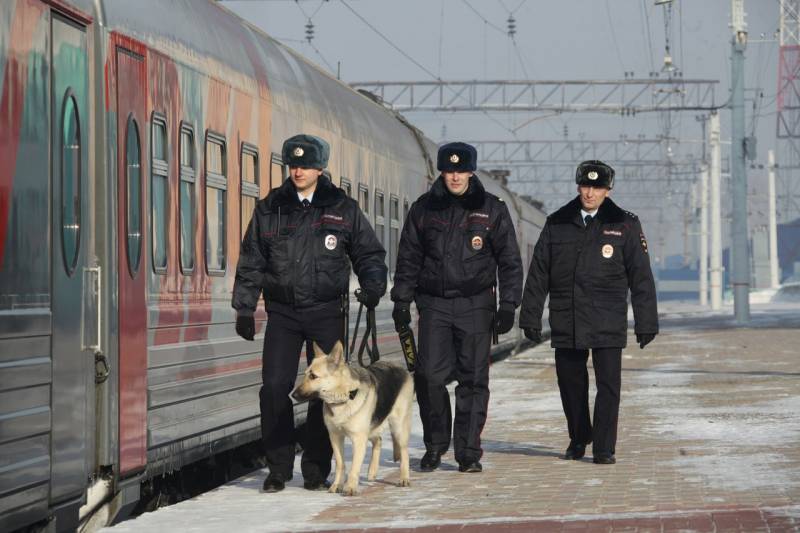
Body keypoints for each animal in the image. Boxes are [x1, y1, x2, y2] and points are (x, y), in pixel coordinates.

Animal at [290, 340, 412, 494]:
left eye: (313, 376)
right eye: (305, 374)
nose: (293, 395)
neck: (344, 397)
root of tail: (398, 366)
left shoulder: (358, 439)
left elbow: (354, 465)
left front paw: (351, 487)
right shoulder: (335, 437)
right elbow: (340, 464)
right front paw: (337, 485)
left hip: (398, 427)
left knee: (404, 451)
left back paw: (404, 477)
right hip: (371, 428)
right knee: (378, 440)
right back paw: (372, 471)